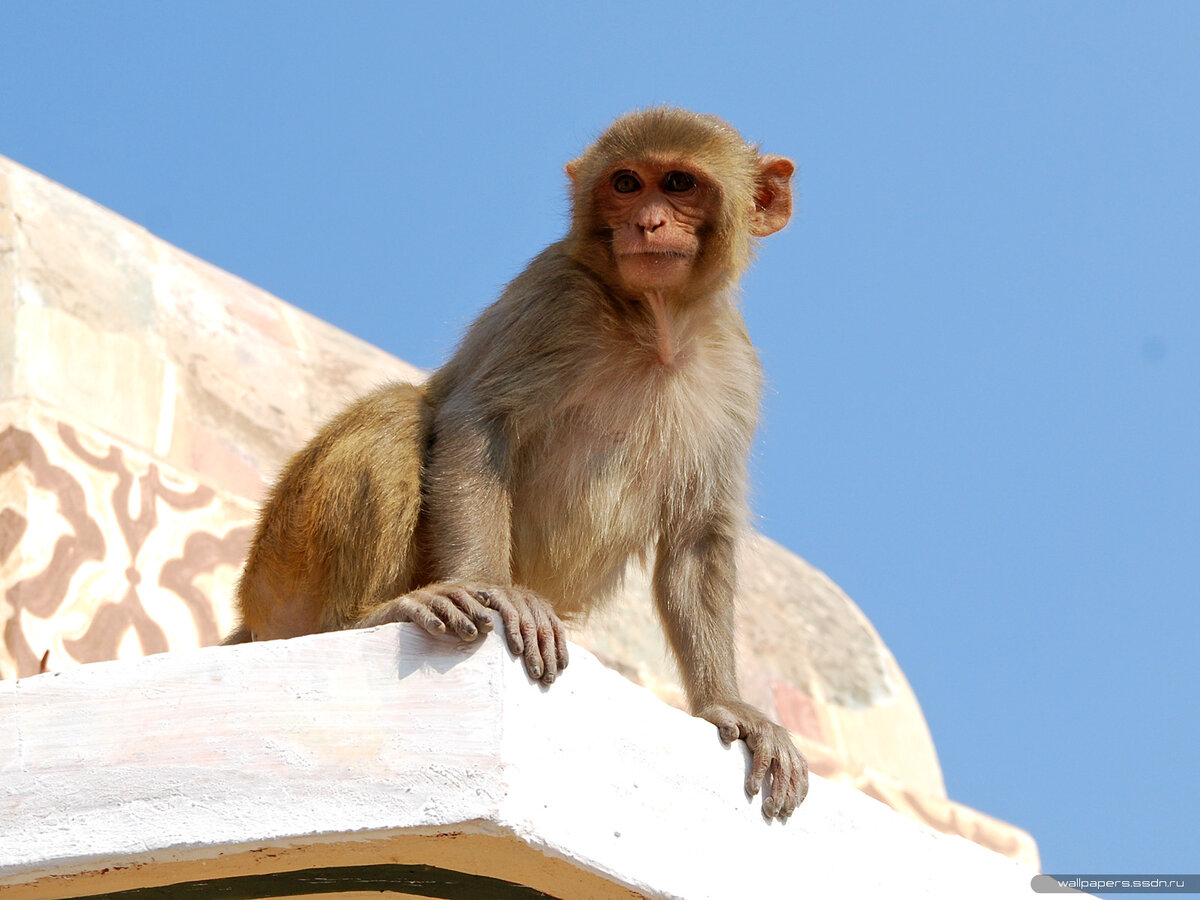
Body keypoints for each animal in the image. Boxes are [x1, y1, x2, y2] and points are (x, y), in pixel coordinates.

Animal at [226, 109, 806, 820]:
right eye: (625, 183)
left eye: (678, 183)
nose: (647, 222)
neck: (654, 325)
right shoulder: (553, 294)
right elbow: (477, 422)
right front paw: (491, 588)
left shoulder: (735, 368)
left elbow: (697, 536)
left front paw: (727, 705)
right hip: (277, 575)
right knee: (398, 413)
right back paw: (373, 615)